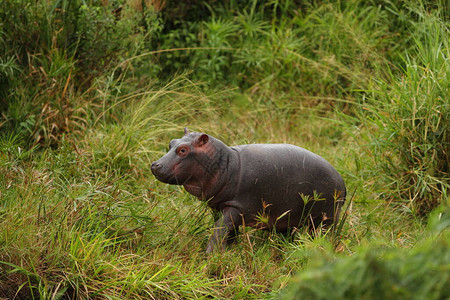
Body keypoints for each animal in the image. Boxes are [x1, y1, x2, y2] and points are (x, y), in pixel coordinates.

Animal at [150, 129, 344, 253]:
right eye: (171, 143)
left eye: (183, 150)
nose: (154, 165)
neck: (224, 164)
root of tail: (342, 181)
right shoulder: (221, 207)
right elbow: (228, 231)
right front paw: (229, 250)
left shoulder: (237, 207)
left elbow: (219, 229)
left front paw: (210, 255)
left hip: (327, 217)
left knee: (325, 234)